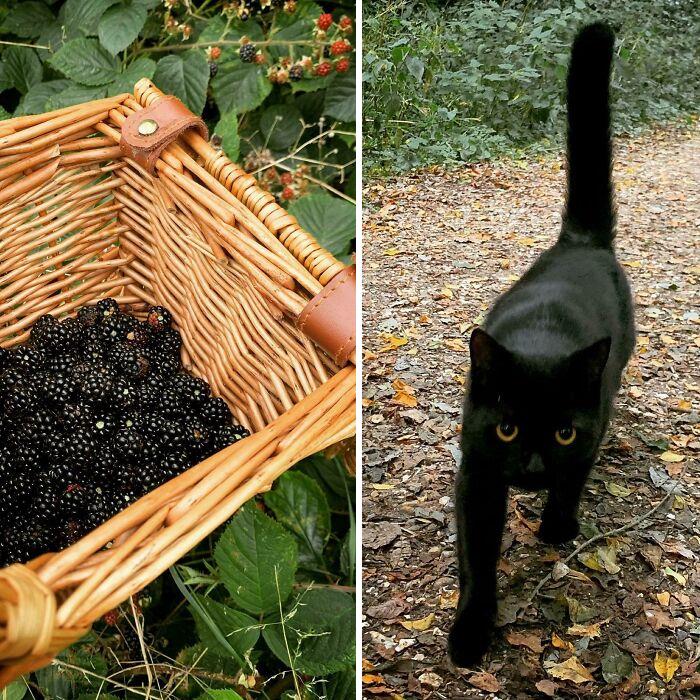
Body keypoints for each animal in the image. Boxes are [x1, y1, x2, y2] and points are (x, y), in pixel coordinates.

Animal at [448, 23, 636, 668]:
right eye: (507, 428)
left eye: (561, 432)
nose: (530, 469)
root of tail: (580, 241)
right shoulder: (478, 471)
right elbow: (477, 562)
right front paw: (471, 632)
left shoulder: (590, 427)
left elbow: (574, 475)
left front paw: (558, 523)